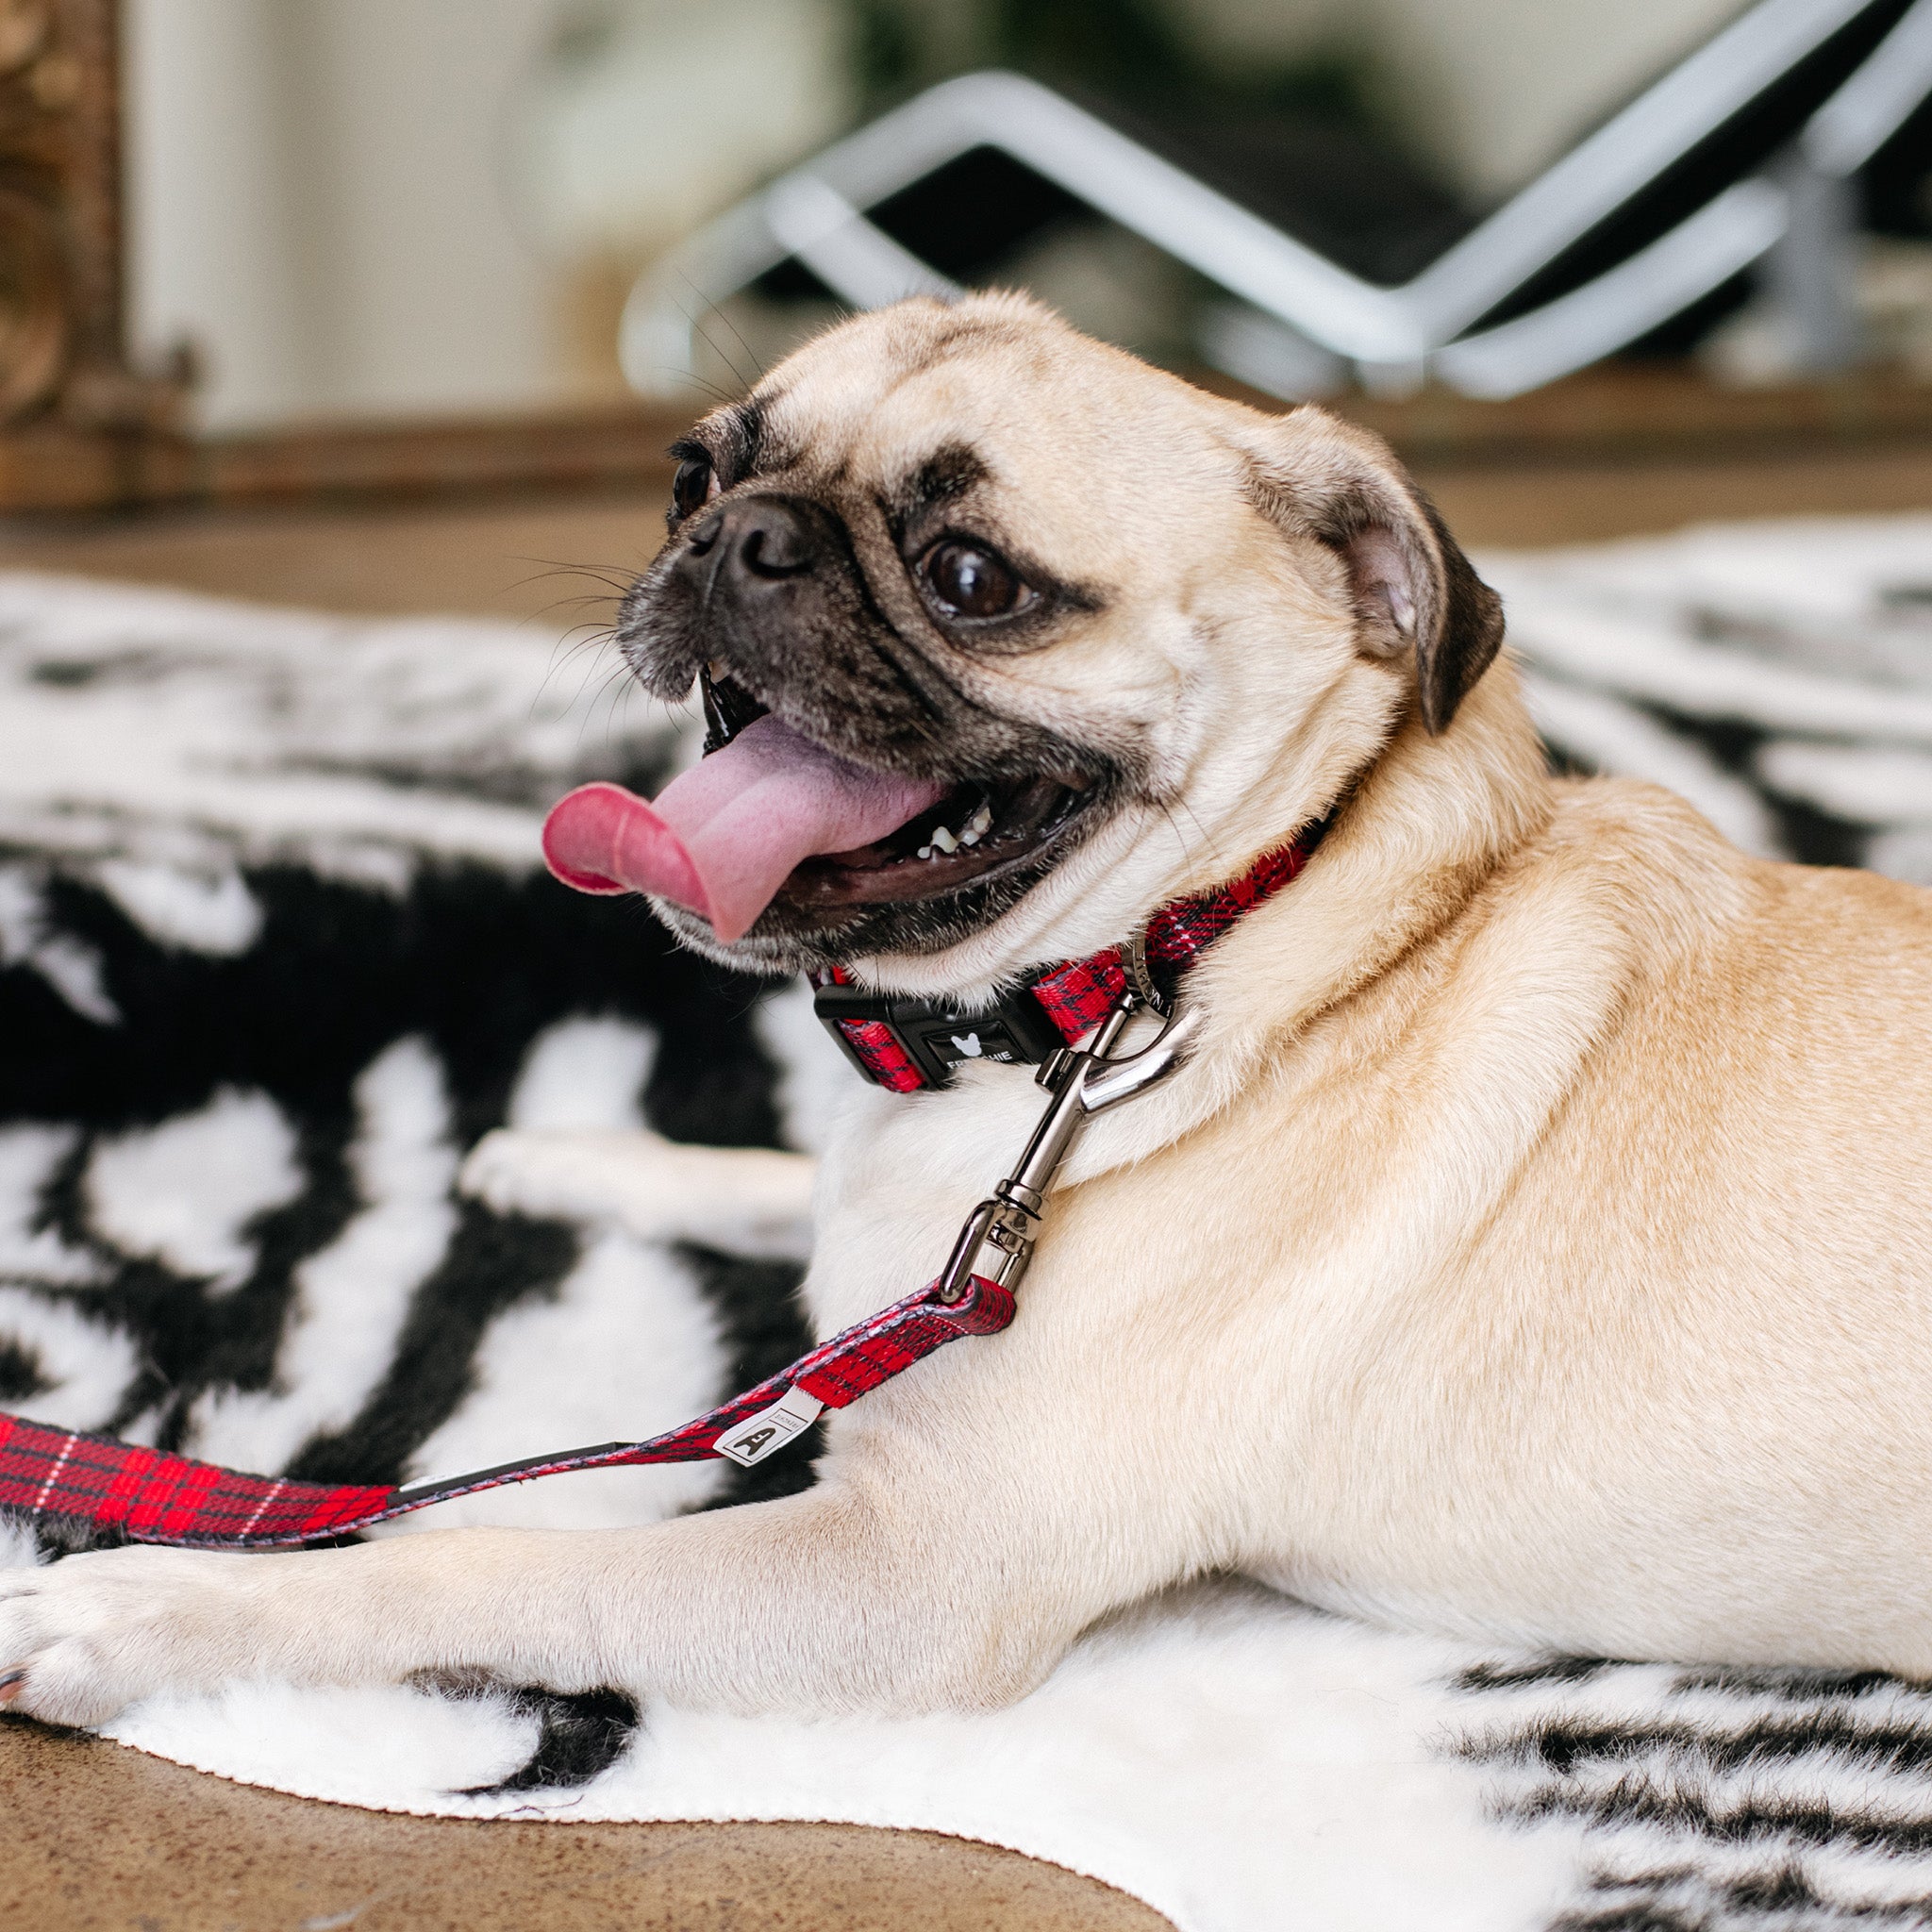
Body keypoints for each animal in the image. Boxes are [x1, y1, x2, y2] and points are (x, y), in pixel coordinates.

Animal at [7, 290, 1932, 1730]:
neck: (1190, 948)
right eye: (691, 472)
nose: (740, 536)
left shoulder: (902, 1575)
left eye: (971, 578)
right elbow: (778, 1184)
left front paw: (140, 1610)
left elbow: (488, 1562)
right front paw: (573, 1154)